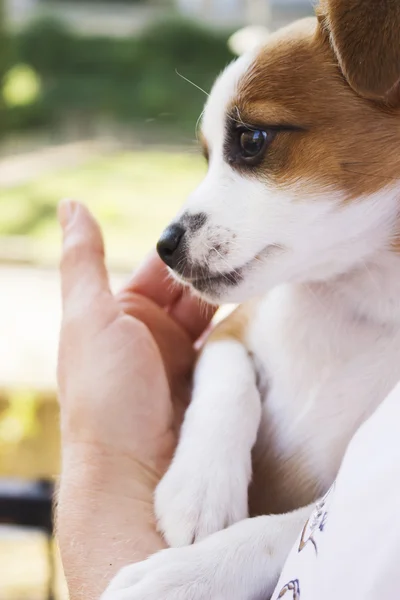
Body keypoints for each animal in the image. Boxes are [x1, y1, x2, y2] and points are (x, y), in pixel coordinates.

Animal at [102, 2, 400, 596]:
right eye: (206, 155)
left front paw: (183, 575)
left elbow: (274, 533)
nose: (165, 247)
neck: (361, 298)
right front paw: (198, 490)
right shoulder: (229, 330)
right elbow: (226, 386)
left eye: (252, 140)